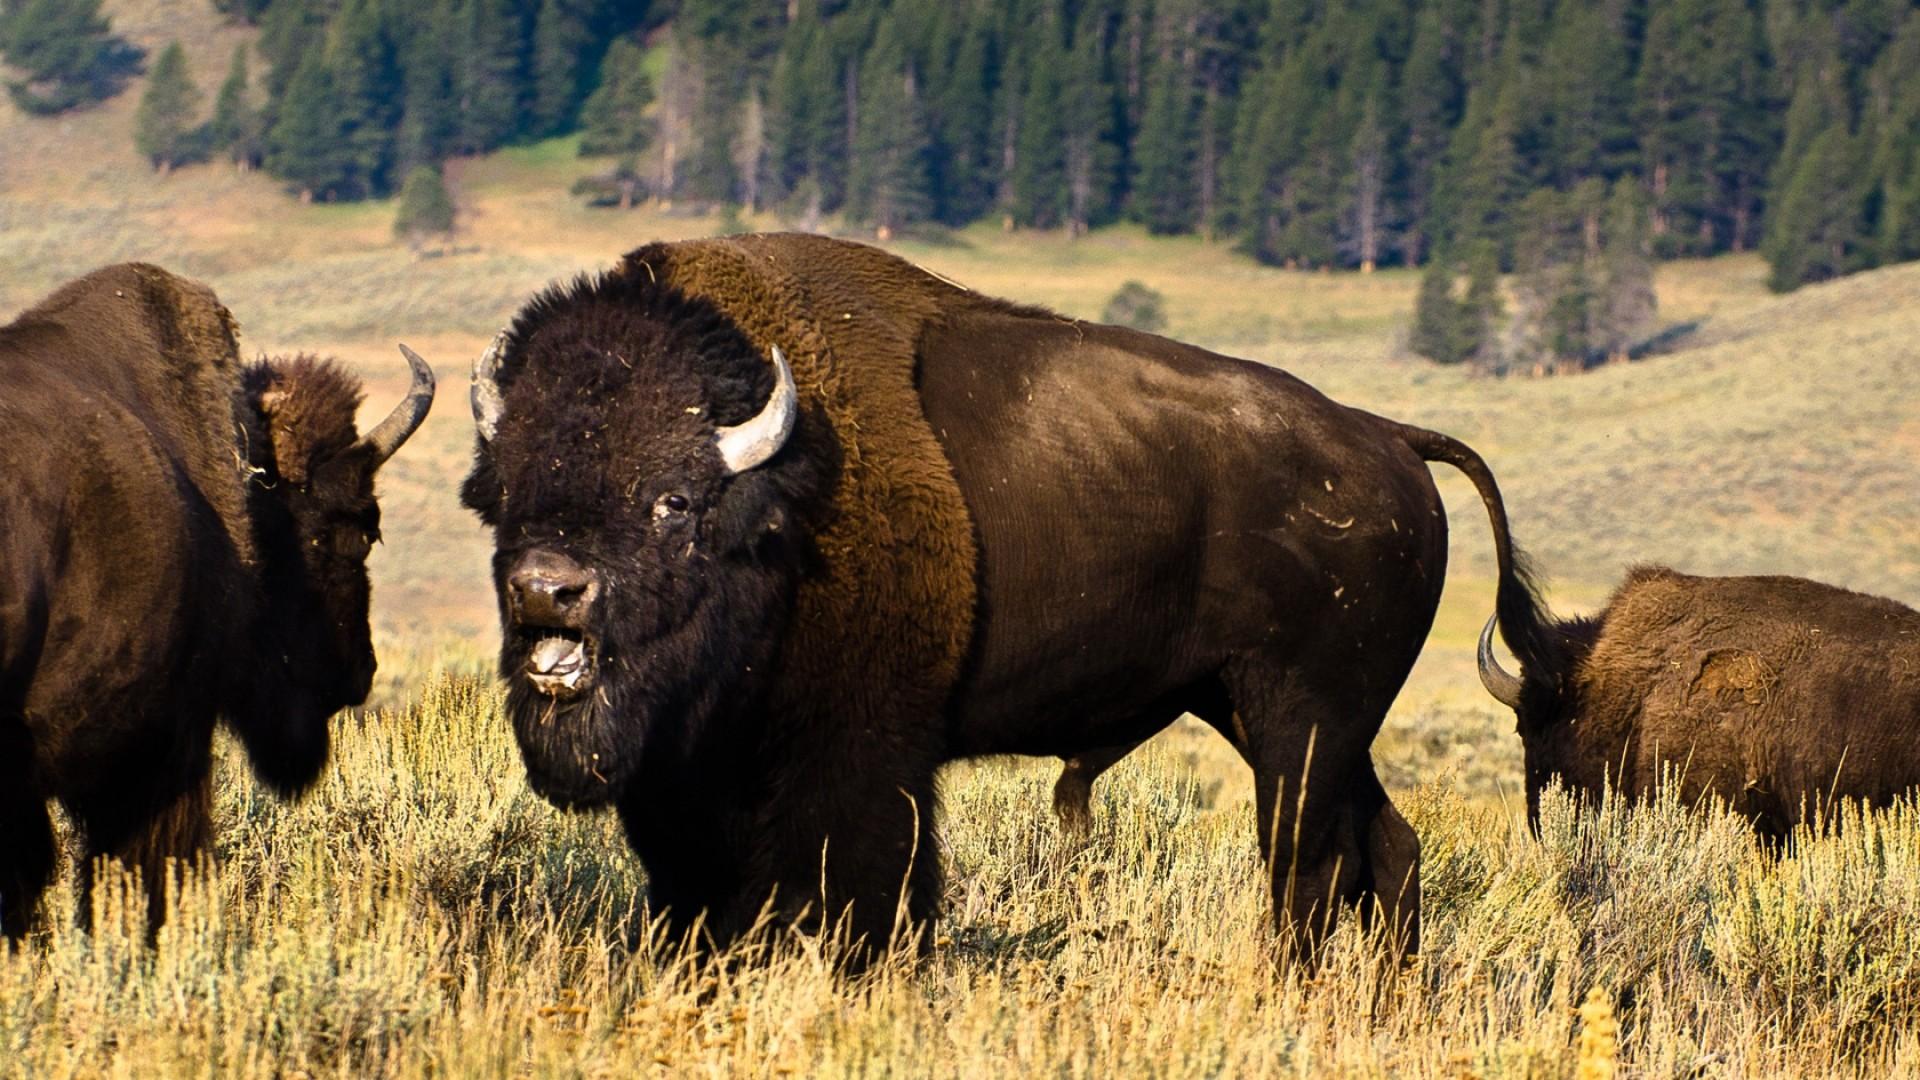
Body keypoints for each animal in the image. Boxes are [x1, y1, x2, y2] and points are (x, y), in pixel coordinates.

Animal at [461, 233, 1550, 961]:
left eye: (673, 500)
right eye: (505, 491)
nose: (547, 589)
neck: (779, 502)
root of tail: (1390, 439)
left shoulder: (861, 759)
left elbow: (864, 892)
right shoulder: (685, 783)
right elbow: (700, 902)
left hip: (1300, 721)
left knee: (1310, 867)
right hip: (1268, 713)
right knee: (1387, 849)